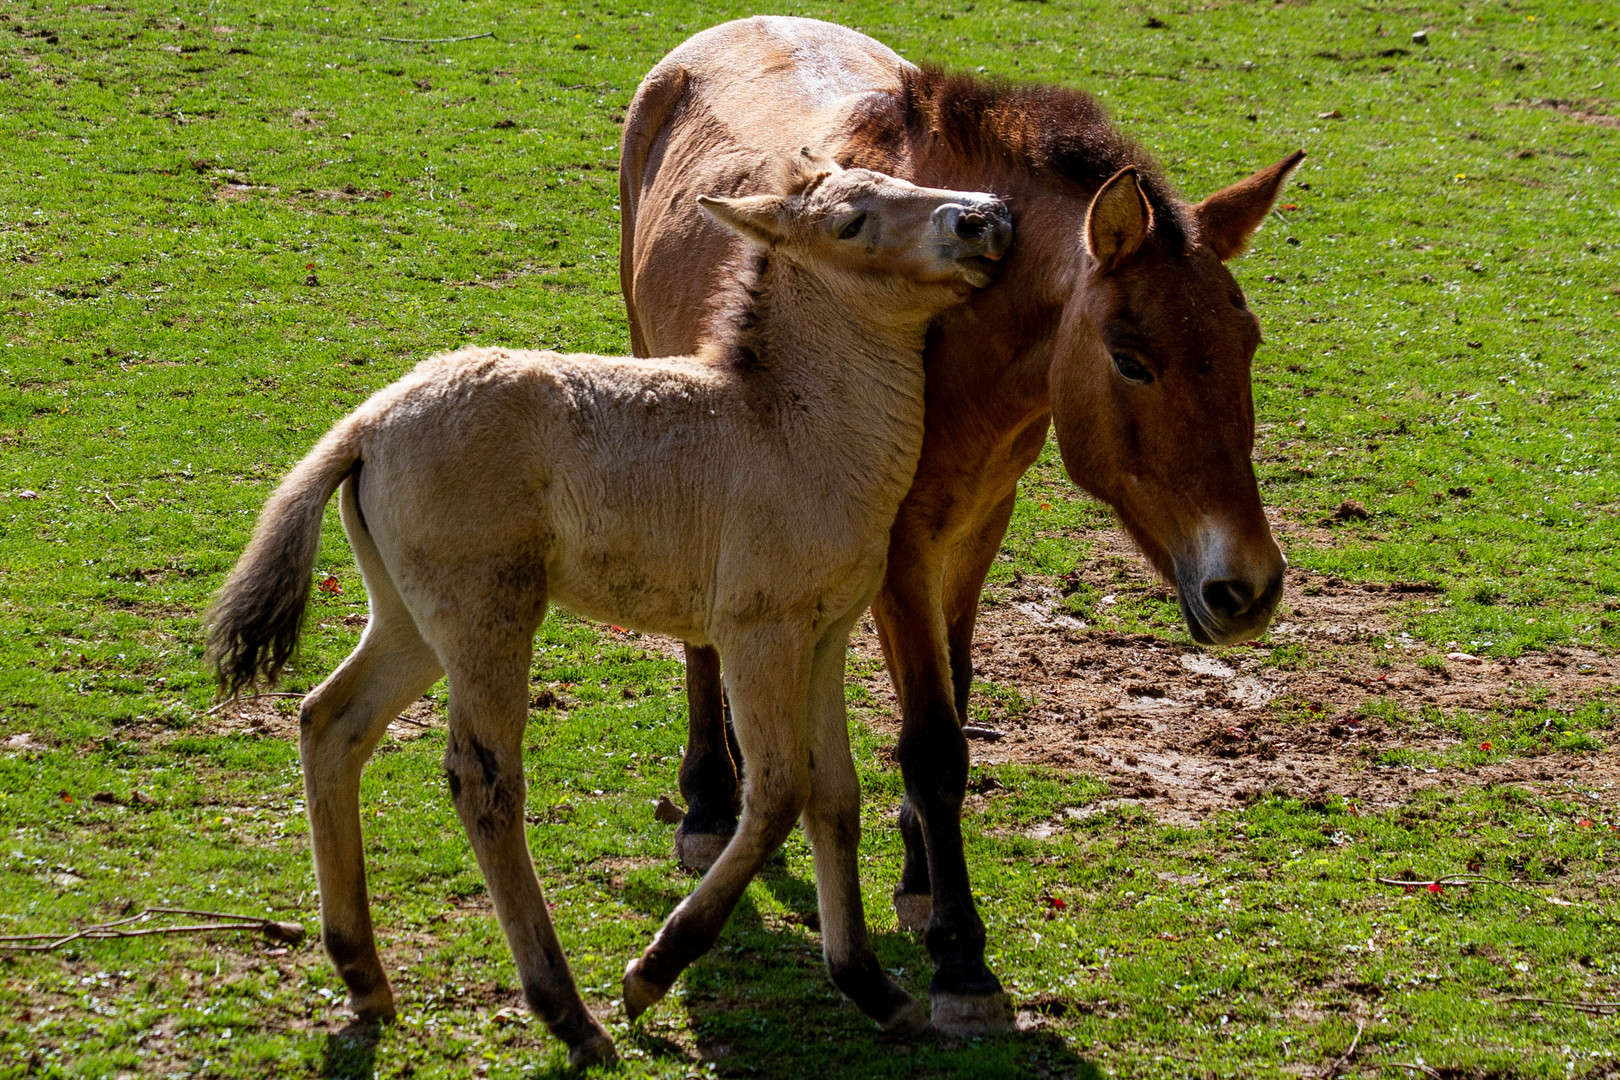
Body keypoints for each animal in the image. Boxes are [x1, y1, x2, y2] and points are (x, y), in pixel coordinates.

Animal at [618, 12, 1302, 1036]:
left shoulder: (980, 525)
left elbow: (953, 703)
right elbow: (933, 744)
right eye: (1131, 359)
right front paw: (961, 959)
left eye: (1247, 342)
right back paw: (705, 802)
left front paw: (917, 880)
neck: (967, 332)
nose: (1246, 588)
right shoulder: (898, 545)